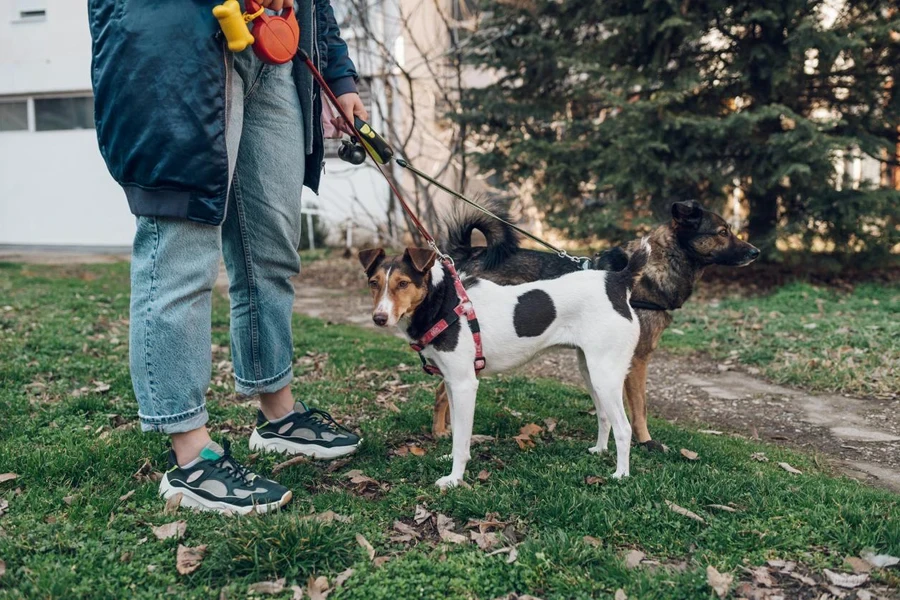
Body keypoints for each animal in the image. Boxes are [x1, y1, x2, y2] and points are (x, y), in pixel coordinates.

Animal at [356, 239, 648, 488]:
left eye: (403, 283)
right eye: (373, 282)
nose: (379, 318)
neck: (443, 302)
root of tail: (618, 282)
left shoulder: (465, 385)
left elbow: (461, 439)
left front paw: (454, 479)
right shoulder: (451, 382)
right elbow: (456, 432)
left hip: (605, 375)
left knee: (624, 428)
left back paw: (621, 474)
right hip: (591, 371)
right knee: (604, 416)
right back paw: (599, 450)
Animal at [432, 202, 756, 450]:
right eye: (723, 232)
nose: (756, 252)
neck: (656, 266)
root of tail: (468, 254)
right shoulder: (637, 360)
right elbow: (640, 407)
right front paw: (646, 441)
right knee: (443, 390)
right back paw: (440, 433)